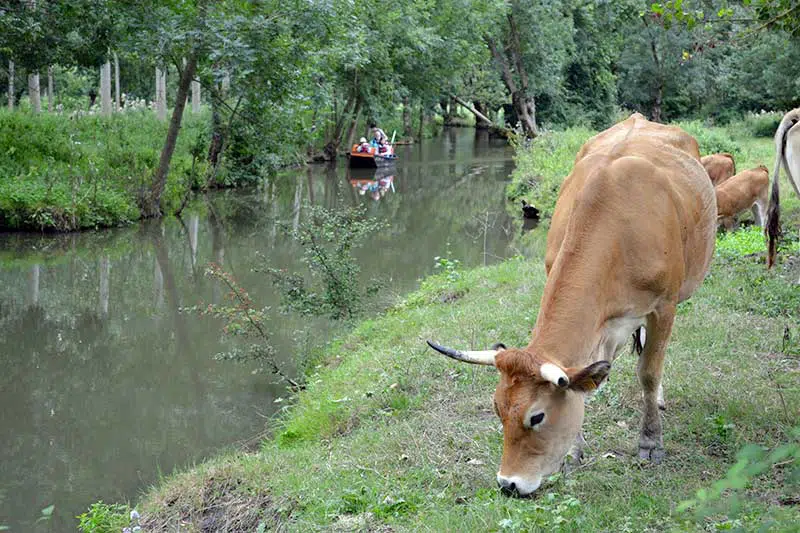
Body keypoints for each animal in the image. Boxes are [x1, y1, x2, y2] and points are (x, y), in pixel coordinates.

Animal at [427, 114, 716, 497]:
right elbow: (580, 382)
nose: (508, 484)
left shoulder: (664, 307)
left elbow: (649, 372)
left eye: (536, 416)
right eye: (497, 409)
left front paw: (650, 442)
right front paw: (574, 451)